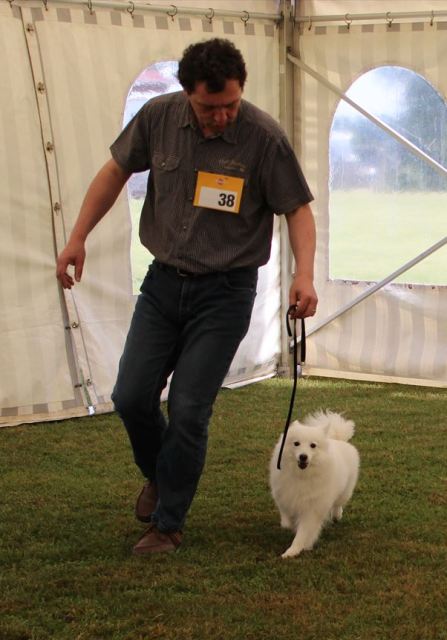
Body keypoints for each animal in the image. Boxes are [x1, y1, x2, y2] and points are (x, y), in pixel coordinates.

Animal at [269, 410, 360, 559]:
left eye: (313, 445)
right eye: (296, 443)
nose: (303, 456)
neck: (302, 476)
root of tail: (337, 439)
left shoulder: (312, 509)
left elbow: (303, 533)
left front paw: (293, 550)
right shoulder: (284, 496)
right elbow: (287, 519)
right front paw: (290, 525)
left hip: (345, 491)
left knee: (338, 504)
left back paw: (336, 515)